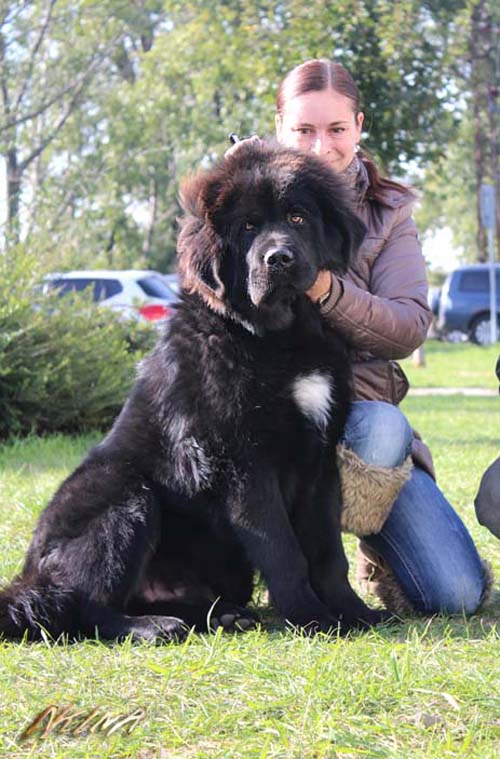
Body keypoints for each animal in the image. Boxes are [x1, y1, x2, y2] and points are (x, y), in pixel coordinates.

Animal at [0, 144, 386, 640]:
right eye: (248, 227)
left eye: (298, 217)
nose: (278, 258)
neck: (276, 335)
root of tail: (31, 578)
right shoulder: (245, 462)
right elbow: (283, 550)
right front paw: (309, 617)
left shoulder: (321, 458)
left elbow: (327, 553)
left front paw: (353, 612)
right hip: (124, 494)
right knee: (85, 605)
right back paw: (152, 627)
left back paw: (222, 615)